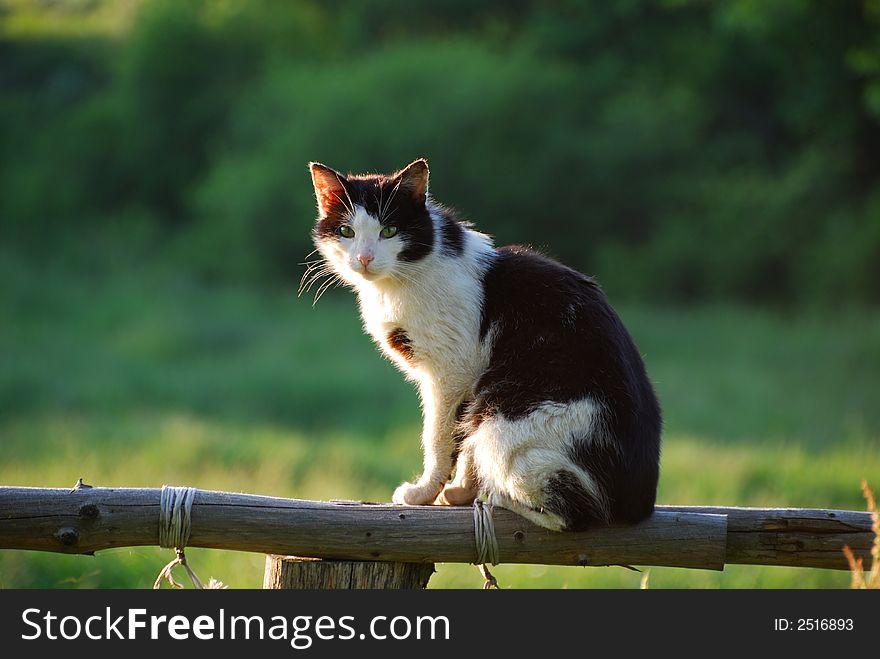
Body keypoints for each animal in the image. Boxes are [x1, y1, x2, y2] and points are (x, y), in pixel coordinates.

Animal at [310, 159, 660, 532]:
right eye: (347, 232)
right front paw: (460, 492)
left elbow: (441, 436)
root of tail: (639, 503)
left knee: (577, 515)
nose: (364, 258)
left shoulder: (453, 371)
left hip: (503, 422)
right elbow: (463, 442)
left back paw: (500, 498)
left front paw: (424, 493)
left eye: (389, 230)